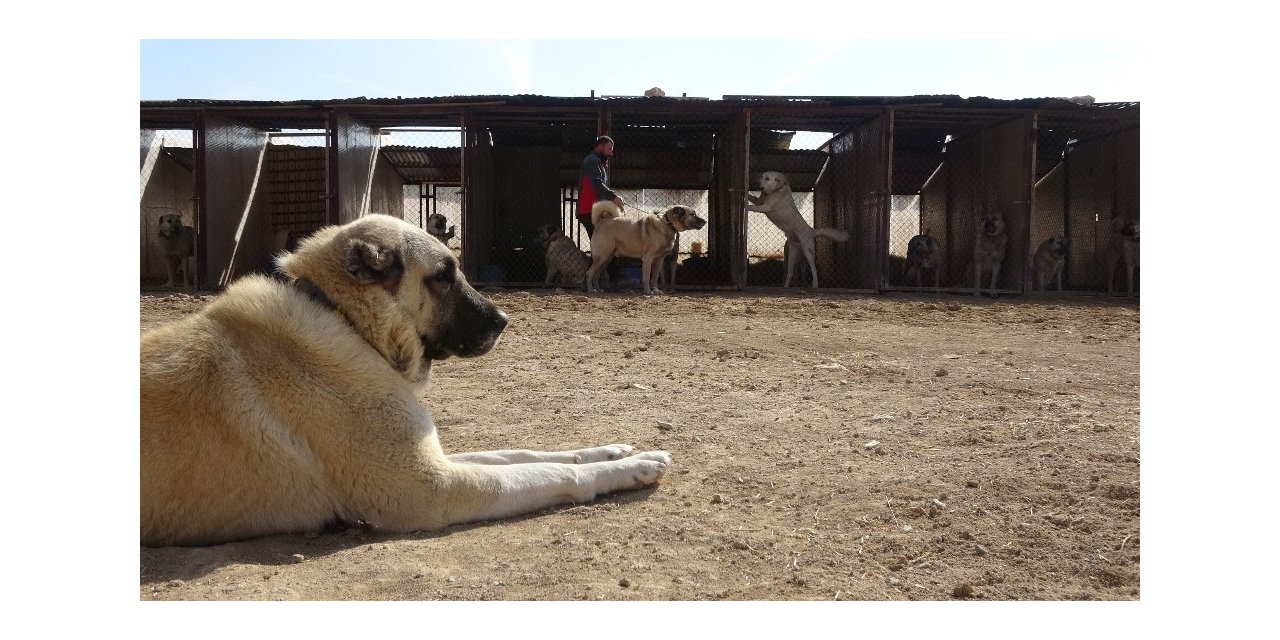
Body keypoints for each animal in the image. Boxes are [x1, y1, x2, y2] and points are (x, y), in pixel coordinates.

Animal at [141, 215, 675, 545]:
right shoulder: (430, 489)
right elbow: (550, 473)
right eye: (442, 275)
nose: (504, 320)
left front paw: (612, 451)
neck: (345, 321)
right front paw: (632, 468)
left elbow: (527, 454)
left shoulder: (431, 455)